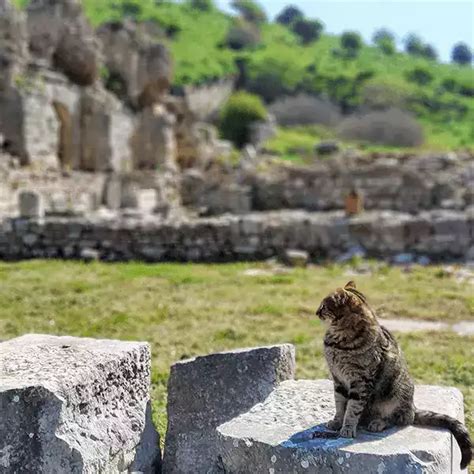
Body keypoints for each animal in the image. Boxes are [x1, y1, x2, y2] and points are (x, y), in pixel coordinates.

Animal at [314, 282, 470, 470]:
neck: (337, 342)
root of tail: (413, 407)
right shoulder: (338, 380)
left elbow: (352, 408)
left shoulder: (360, 382)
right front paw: (337, 422)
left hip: (395, 395)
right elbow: (340, 405)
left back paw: (378, 422)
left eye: (323, 306)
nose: (316, 312)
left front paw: (348, 428)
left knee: (401, 419)